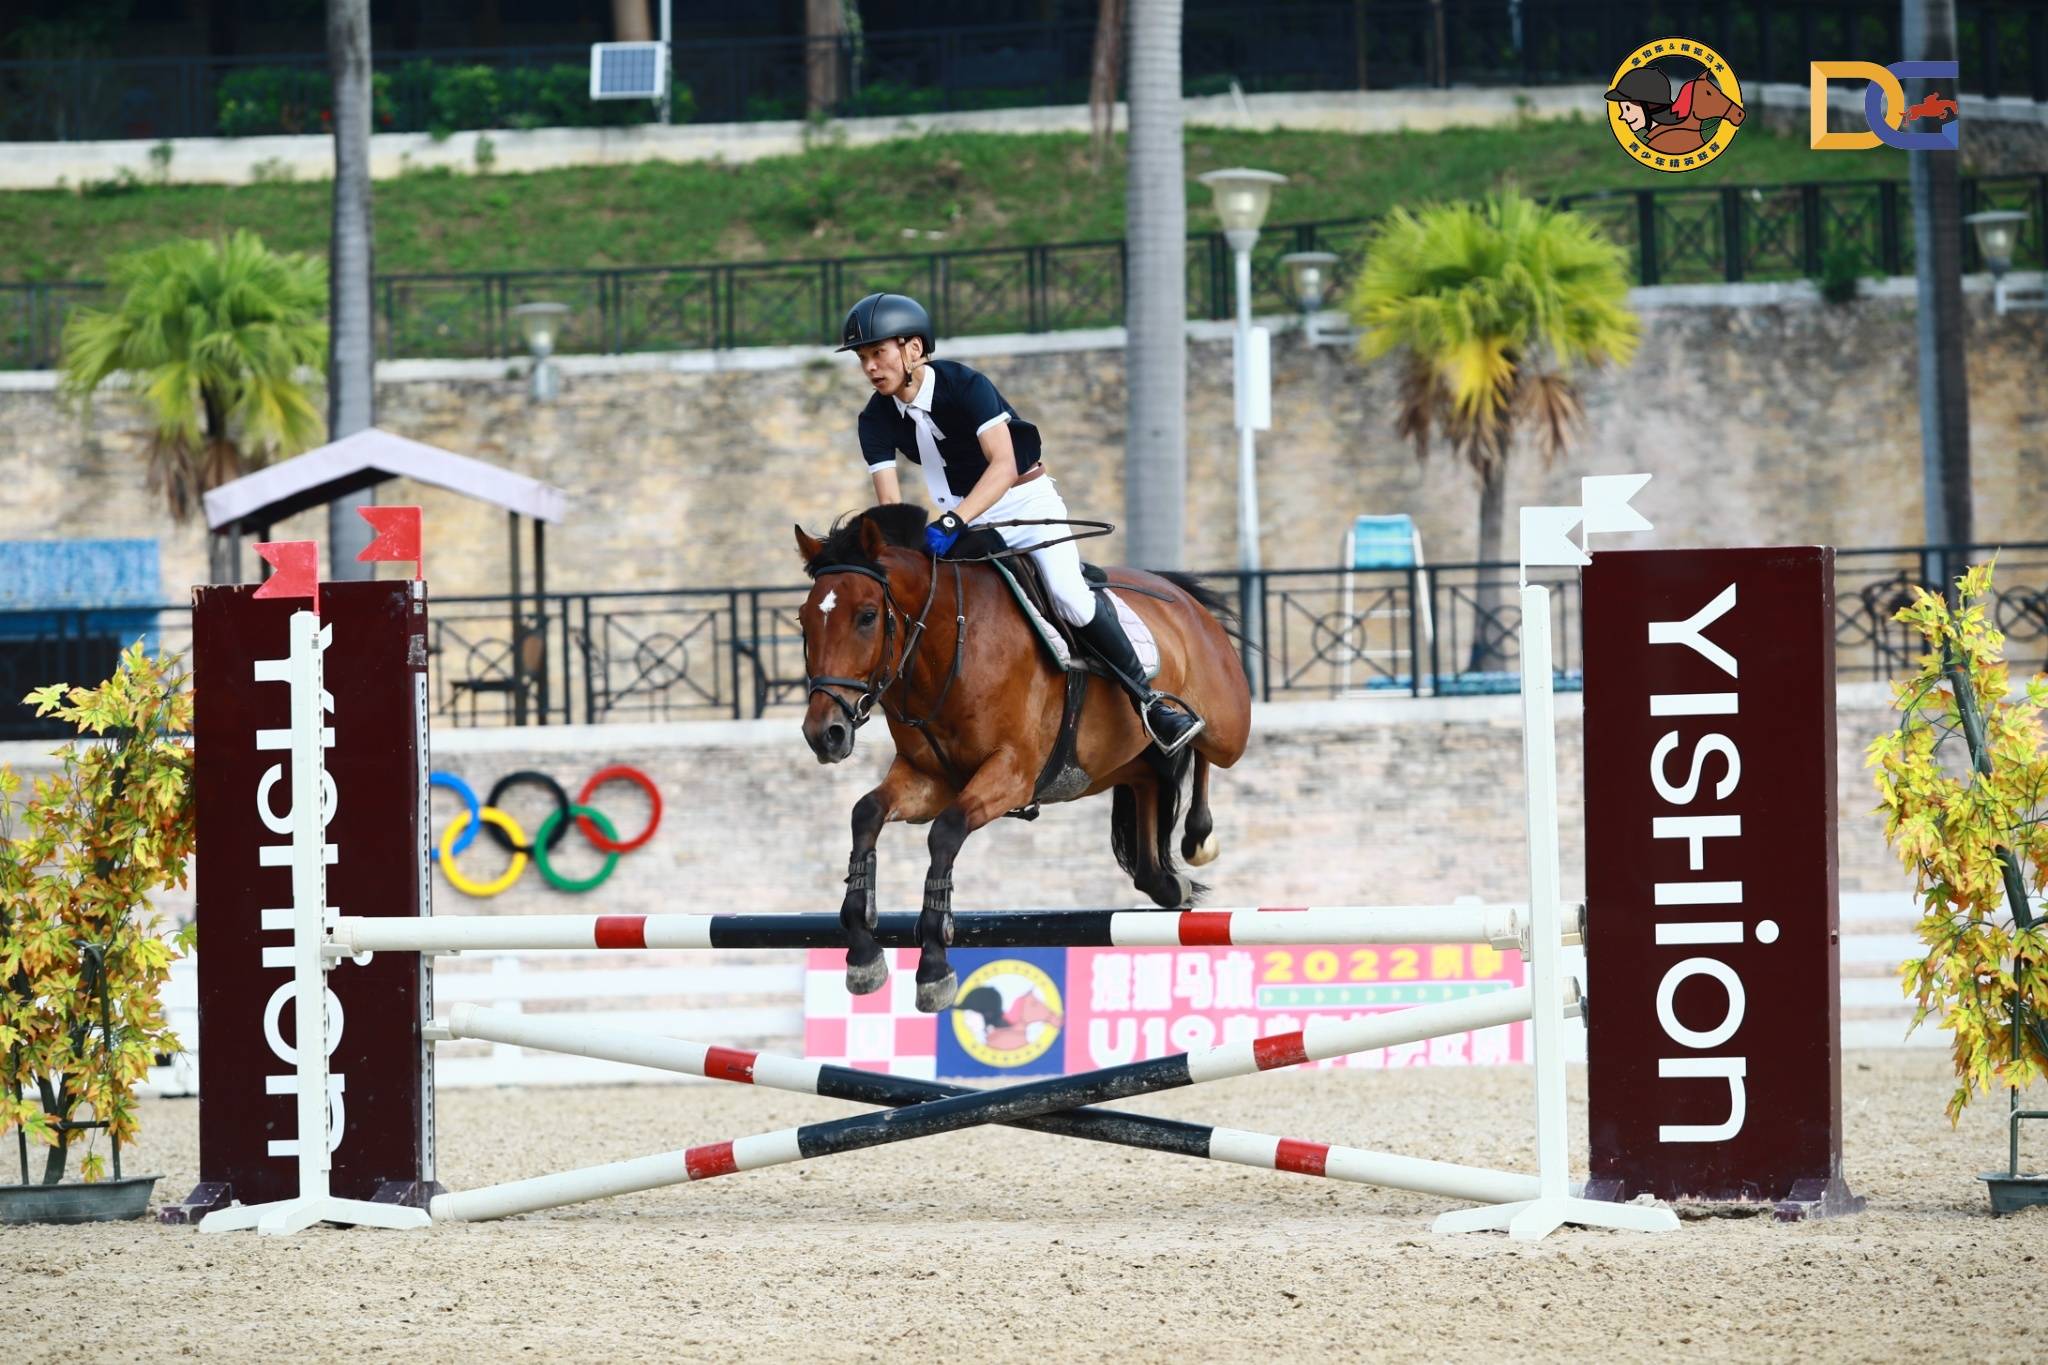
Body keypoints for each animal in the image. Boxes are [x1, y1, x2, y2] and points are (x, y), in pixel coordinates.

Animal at [793, 504, 1252, 1012]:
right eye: (803, 621)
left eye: (868, 616)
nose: (825, 734)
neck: (948, 642)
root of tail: (1181, 596)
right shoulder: (929, 778)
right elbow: (866, 812)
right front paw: (863, 951)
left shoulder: (1012, 772)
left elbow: (946, 832)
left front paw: (933, 964)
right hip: (1113, 760)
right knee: (1149, 778)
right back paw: (1165, 880)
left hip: (1229, 726)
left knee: (1202, 744)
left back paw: (1197, 829)